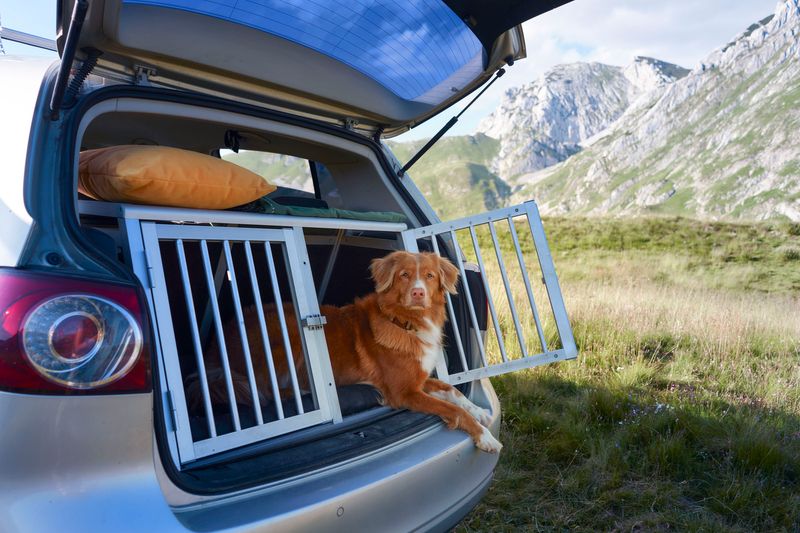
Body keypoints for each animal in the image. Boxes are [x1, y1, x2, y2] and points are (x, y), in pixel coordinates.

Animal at [196, 251, 500, 450]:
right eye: (404, 275)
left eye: (429, 276)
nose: (418, 293)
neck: (404, 322)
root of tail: (215, 347)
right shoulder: (404, 392)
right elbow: (452, 409)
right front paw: (485, 437)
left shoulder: (417, 380)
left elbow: (453, 392)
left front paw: (480, 412)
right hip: (289, 335)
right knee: (269, 391)